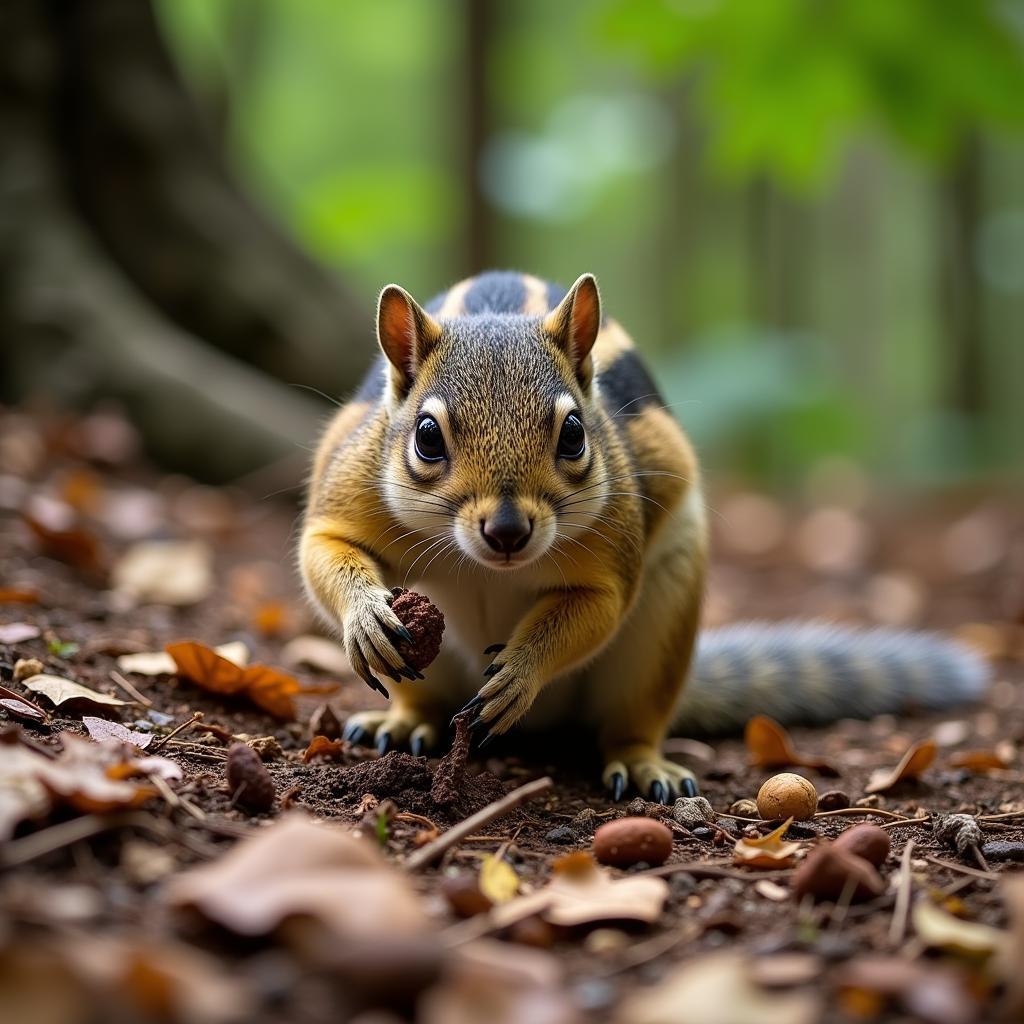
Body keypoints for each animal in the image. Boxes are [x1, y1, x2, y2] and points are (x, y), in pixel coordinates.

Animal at [299, 270, 987, 798]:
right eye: (426, 437)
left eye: (574, 433)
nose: (508, 530)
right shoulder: (349, 488)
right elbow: (322, 549)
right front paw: (364, 614)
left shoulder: (614, 549)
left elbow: (599, 607)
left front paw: (521, 666)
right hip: (431, 669)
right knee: (423, 701)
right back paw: (401, 723)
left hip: (659, 633)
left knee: (630, 718)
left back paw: (639, 762)